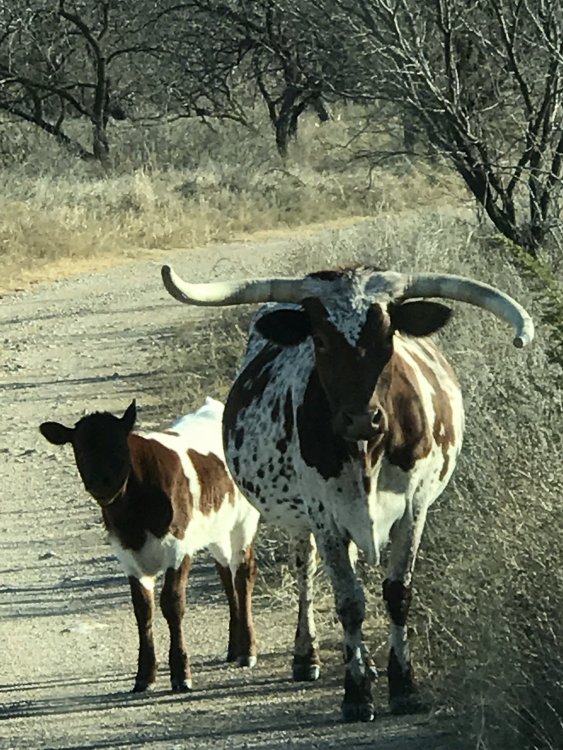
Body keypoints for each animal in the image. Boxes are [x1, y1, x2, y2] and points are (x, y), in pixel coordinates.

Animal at [39, 397, 260, 693]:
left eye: (119, 446)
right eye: (80, 449)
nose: (101, 483)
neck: (132, 514)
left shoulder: (178, 547)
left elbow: (172, 604)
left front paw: (181, 673)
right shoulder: (127, 555)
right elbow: (143, 609)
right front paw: (144, 675)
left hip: (244, 520)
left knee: (243, 574)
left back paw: (247, 651)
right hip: (216, 529)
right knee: (226, 573)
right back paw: (234, 648)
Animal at [160, 264, 534, 722]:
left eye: (388, 337)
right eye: (320, 340)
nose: (362, 418)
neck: (365, 451)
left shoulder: (415, 507)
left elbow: (397, 593)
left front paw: (403, 686)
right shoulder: (326, 514)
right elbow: (349, 600)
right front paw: (356, 693)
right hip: (302, 519)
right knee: (305, 568)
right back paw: (307, 656)